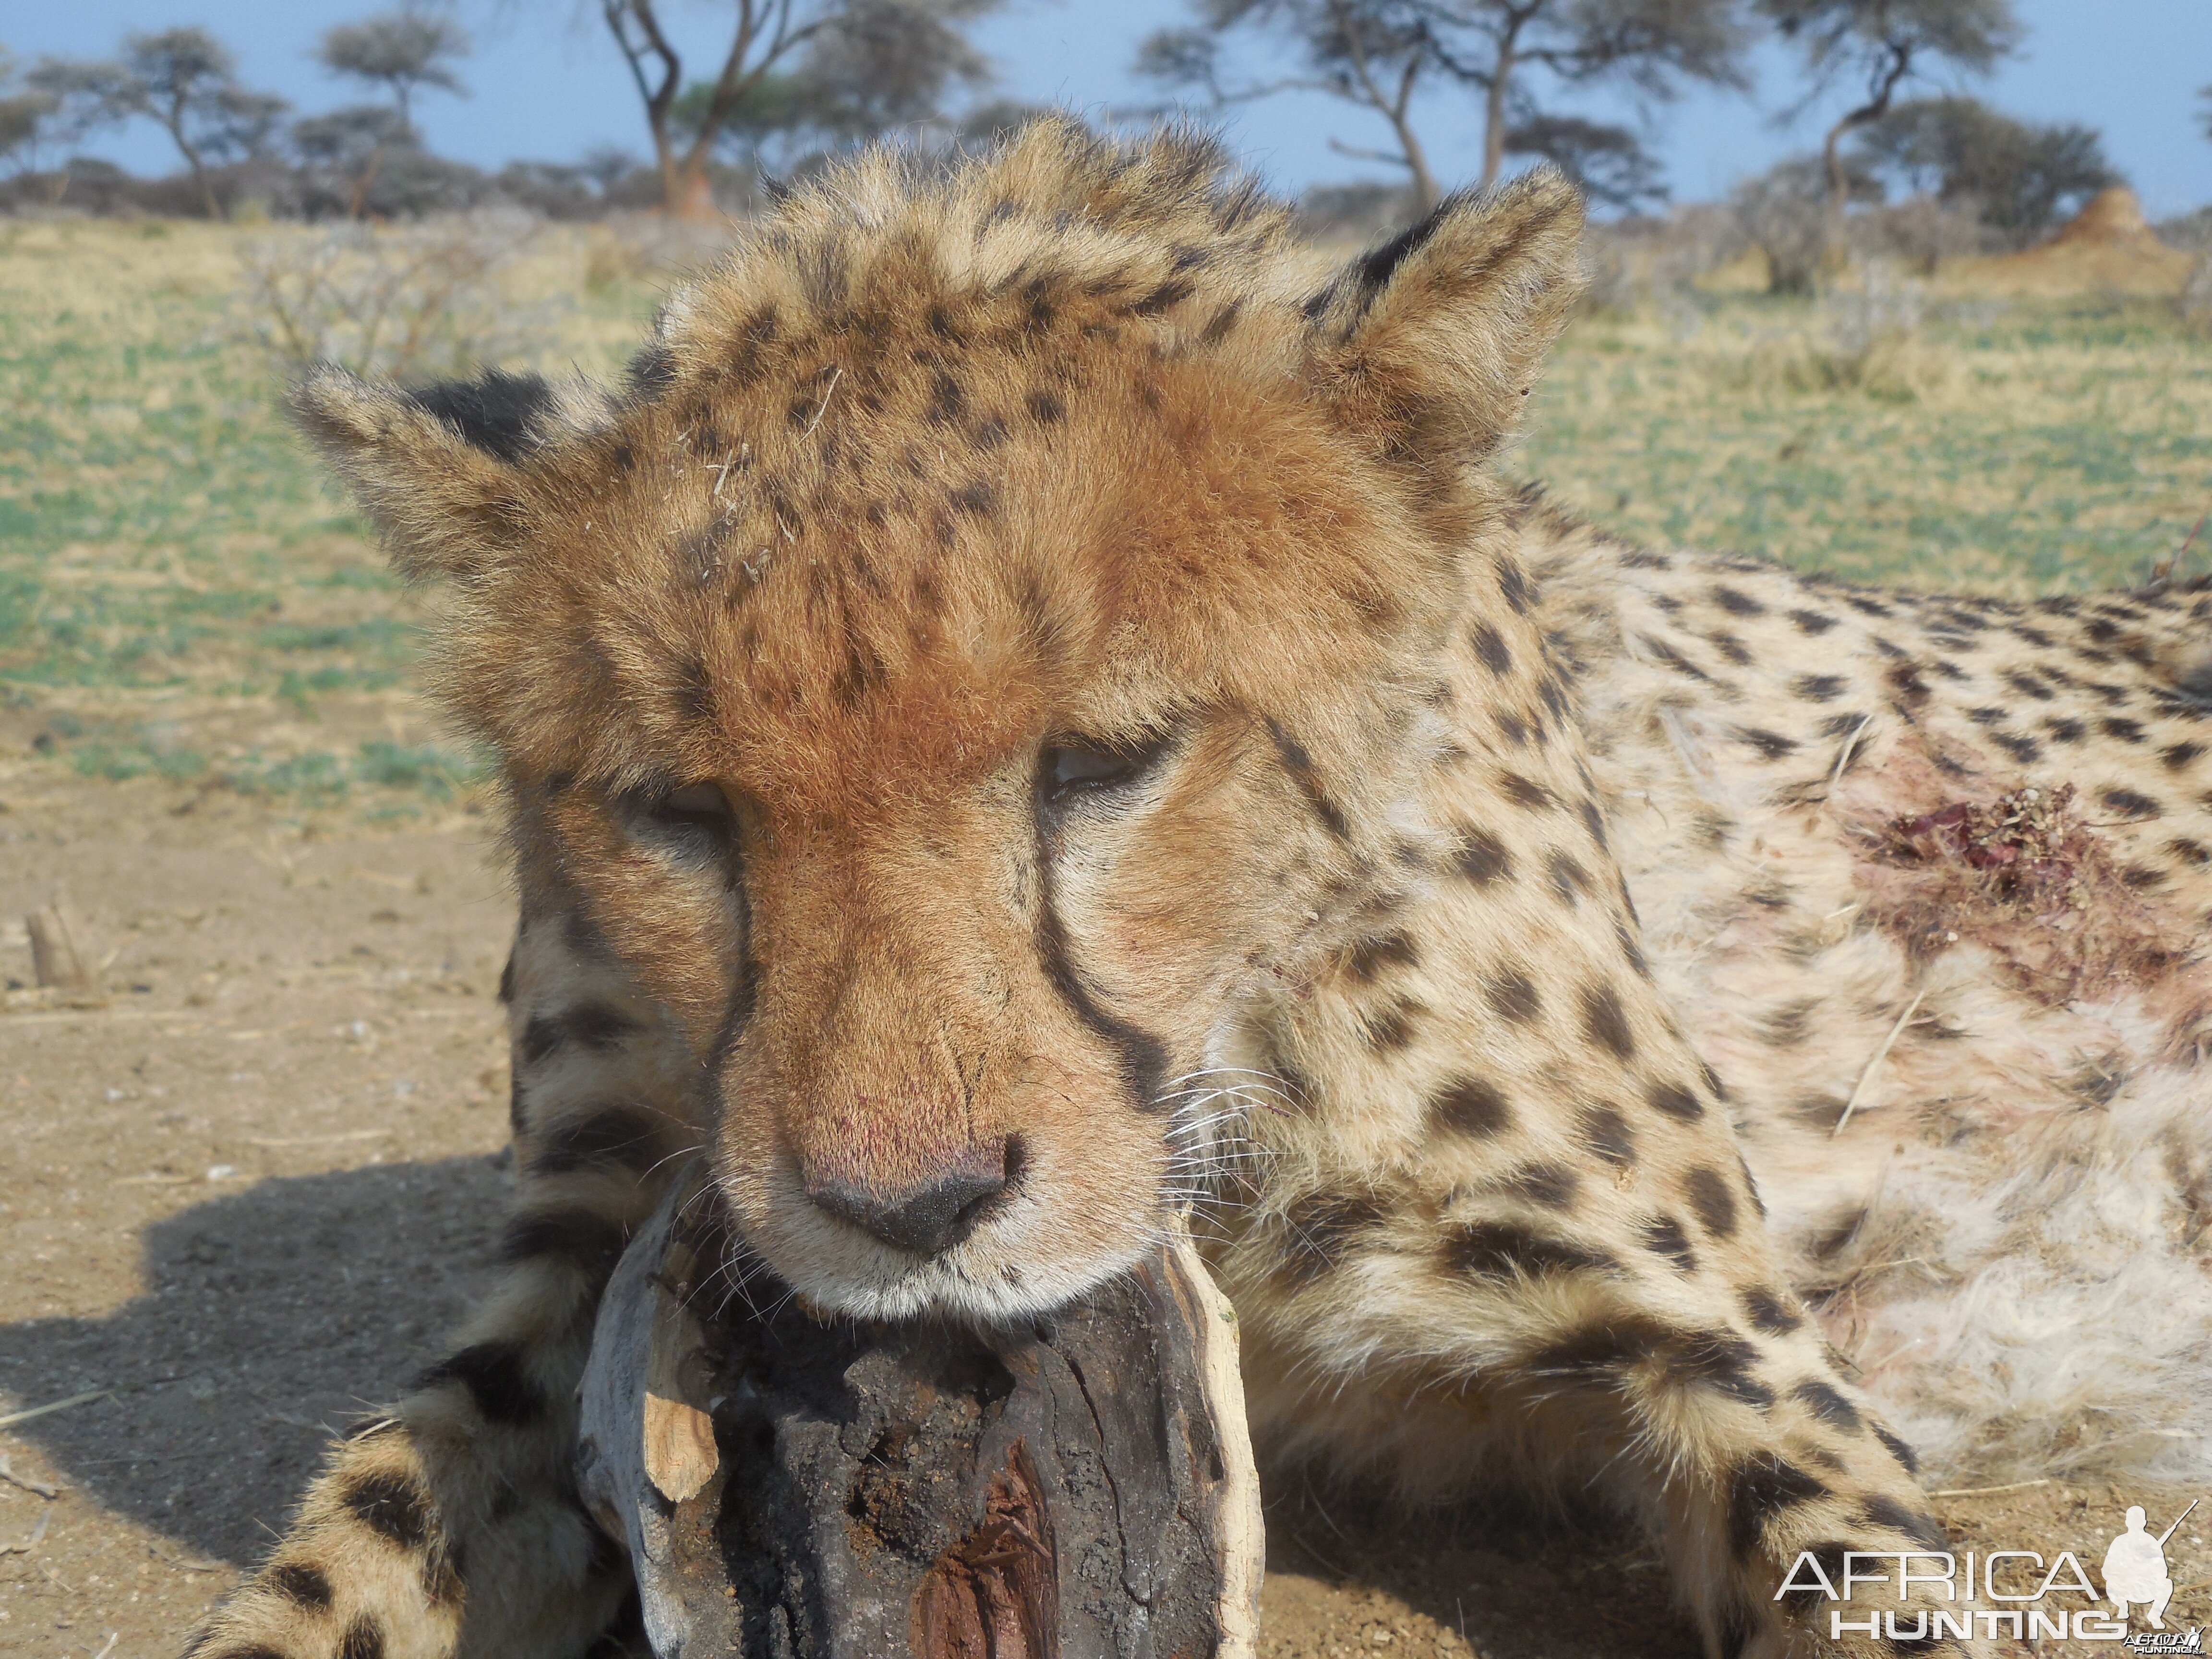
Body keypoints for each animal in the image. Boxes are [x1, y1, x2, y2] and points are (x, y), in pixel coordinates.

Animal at [194, 123, 2212, 1659]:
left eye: (1104, 758)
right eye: (677, 808)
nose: (906, 1210)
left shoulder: (1727, 1346)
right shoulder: (587, 1250)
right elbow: (345, 1547)